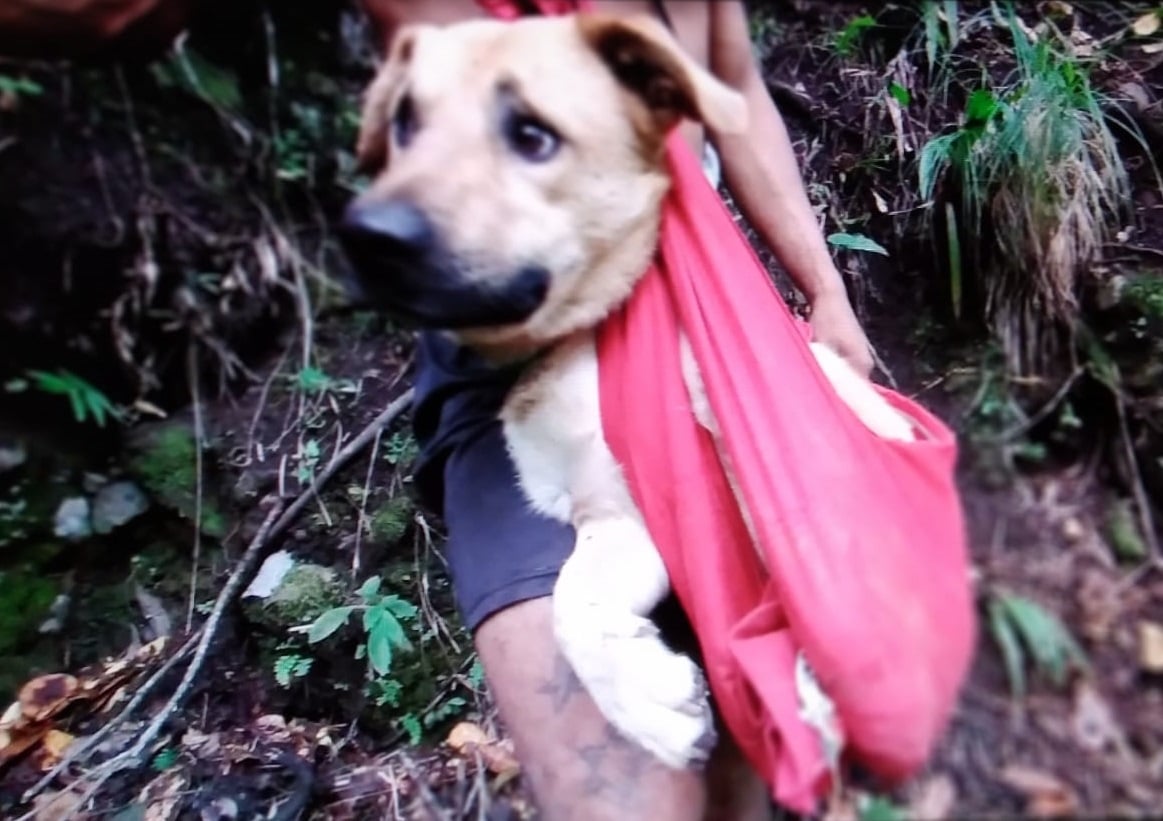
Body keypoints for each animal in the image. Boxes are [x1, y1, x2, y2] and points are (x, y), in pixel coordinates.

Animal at [337, 11, 916, 767]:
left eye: (532, 134)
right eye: (404, 123)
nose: (366, 237)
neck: (572, 349)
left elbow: (799, 561)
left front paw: (813, 682)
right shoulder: (614, 513)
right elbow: (569, 602)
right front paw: (650, 702)